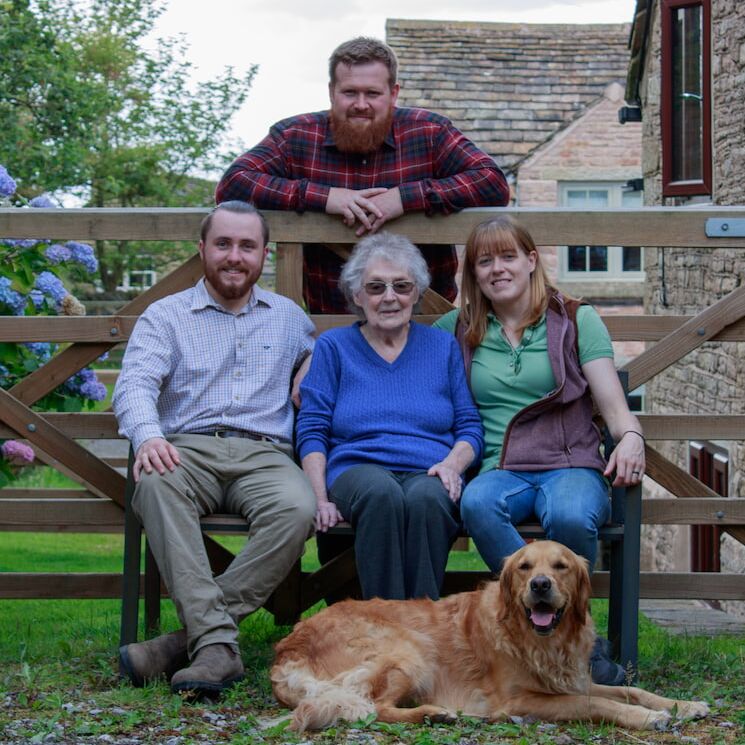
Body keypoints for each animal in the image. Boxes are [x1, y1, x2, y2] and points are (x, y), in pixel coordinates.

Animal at [270, 536, 708, 728]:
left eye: (561, 566)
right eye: (525, 567)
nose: (540, 586)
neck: (538, 642)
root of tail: (286, 648)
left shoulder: (572, 680)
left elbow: (631, 690)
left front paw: (683, 705)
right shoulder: (517, 701)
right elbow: (598, 703)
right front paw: (647, 718)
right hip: (411, 651)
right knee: (375, 709)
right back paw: (436, 713)